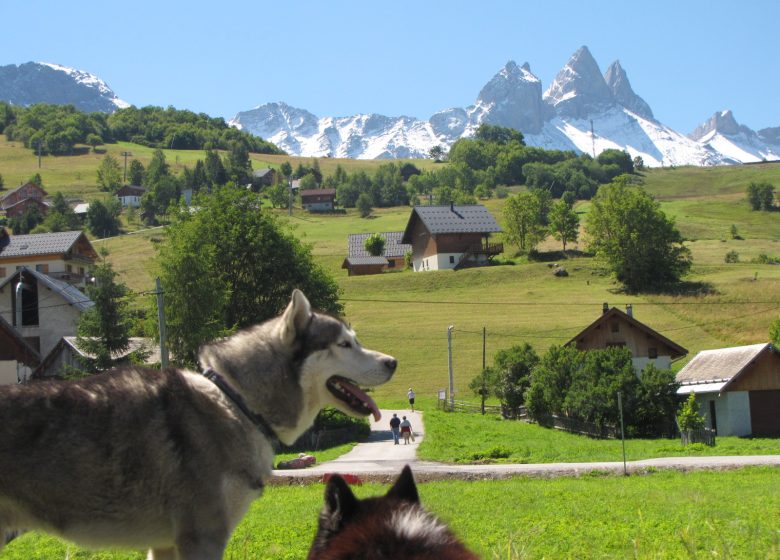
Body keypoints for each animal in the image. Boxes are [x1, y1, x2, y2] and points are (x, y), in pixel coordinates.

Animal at [0, 290, 394, 556]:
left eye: (356, 341)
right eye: (345, 344)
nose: (393, 362)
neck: (237, 402)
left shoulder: (165, 545)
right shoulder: (202, 538)